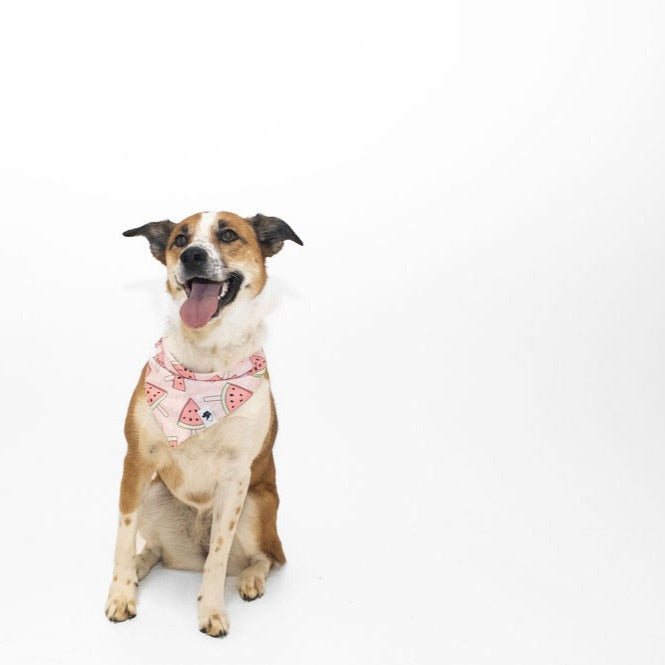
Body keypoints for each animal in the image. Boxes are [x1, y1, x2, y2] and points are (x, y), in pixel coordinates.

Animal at [105, 210, 302, 636]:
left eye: (228, 235)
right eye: (180, 239)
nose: (192, 255)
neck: (205, 359)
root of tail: (186, 557)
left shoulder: (237, 477)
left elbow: (219, 557)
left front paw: (212, 610)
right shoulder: (136, 460)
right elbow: (123, 537)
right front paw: (121, 594)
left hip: (259, 503)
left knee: (267, 557)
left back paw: (250, 578)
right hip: (152, 493)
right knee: (155, 548)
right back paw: (140, 568)